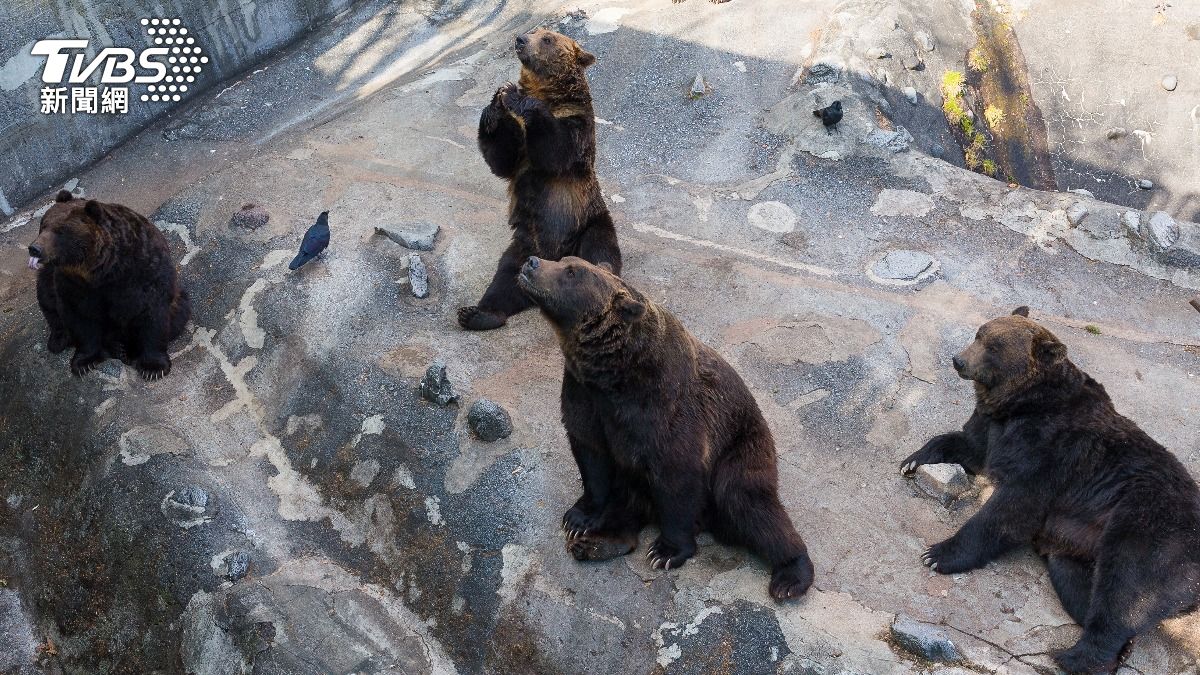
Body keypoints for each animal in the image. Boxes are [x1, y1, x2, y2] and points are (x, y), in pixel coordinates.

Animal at [29, 190, 191, 379]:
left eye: (60, 231)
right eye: (43, 225)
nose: (35, 248)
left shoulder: (144, 274)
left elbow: (152, 315)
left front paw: (153, 367)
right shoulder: (74, 285)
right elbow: (80, 318)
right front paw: (84, 362)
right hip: (47, 277)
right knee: (48, 302)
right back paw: (61, 340)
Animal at [457, 28, 621, 331]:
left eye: (547, 38)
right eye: (534, 31)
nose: (520, 39)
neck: (550, 94)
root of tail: (552, 259)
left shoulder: (577, 125)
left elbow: (556, 149)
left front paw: (513, 95)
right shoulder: (519, 143)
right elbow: (502, 159)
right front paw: (494, 104)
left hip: (589, 224)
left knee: (600, 251)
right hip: (524, 246)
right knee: (504, 280)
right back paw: (478, 314)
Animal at [517, 255, 814, 600]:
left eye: (571, 272)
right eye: (566, 262)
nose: (532, 261)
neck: (612, 373)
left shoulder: (664, 406)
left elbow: (677, 476)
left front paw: (666, 551)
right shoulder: (585, 396)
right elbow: (592, 456)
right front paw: (578, 518)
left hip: (743, 448)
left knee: (748, 504)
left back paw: (790, 576)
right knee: (627, 497)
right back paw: (595, 543)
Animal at [901, 307, 1200, 674]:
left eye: (994, 346)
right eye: (979, 334)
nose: (958, 360)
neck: (1023, 404)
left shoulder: (1052, 449)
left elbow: (1013, 506)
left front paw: (938, 553)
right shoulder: (996, 428)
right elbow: (969, 445)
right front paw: (913, 460)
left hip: (1152, 525)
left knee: (1126, 587)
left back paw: (1076, 656)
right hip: (1075, 547)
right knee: (1085, 587)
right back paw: (1118, 647)